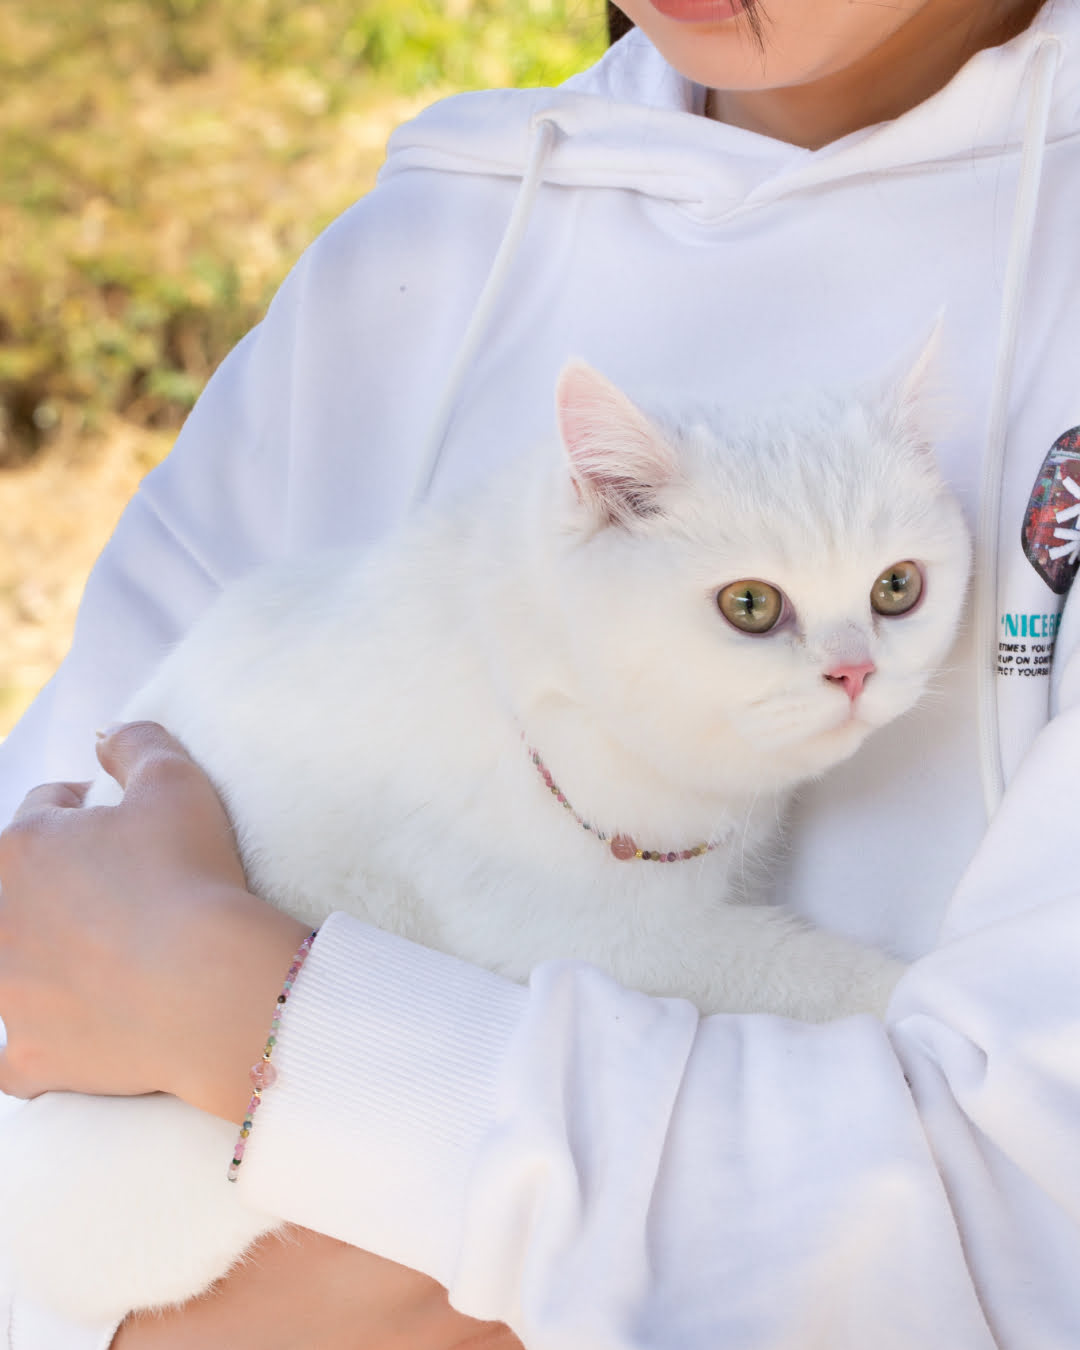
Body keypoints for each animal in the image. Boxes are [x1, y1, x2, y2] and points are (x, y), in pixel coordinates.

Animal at [0, 353, 972, 1323]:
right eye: (750, 604)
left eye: (897, 588)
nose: (857, 671)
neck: (547, 669)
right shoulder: (593, 936)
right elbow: (796, 970)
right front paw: (905, 995)